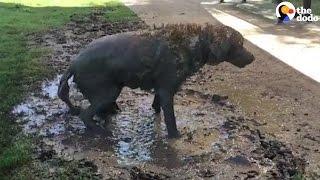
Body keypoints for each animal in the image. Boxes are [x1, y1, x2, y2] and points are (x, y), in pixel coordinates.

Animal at [57, 23, 252, 138]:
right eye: (240, 44)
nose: (253, 58)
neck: (195, 43)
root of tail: (73, 63)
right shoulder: (167, 90)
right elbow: (171, 119)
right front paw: (175, 136)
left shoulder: (161, 89)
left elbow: (156, 106)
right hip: (108, 92)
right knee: (85, 115)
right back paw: (98, 130)